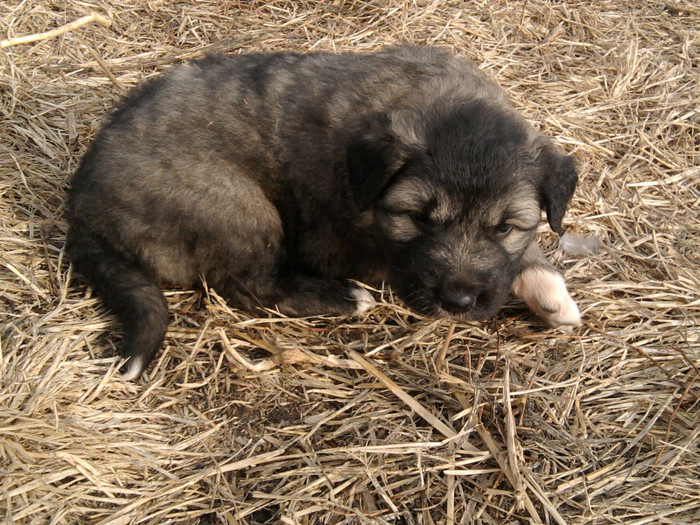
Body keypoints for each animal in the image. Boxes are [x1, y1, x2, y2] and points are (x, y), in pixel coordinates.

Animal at [67, 46, 580, 380]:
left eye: (505, 226)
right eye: (417, 217)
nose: (457, 302)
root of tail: (82, 203)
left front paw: (549, 292)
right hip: (238, 204)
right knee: (249, 285)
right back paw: (343, 298)